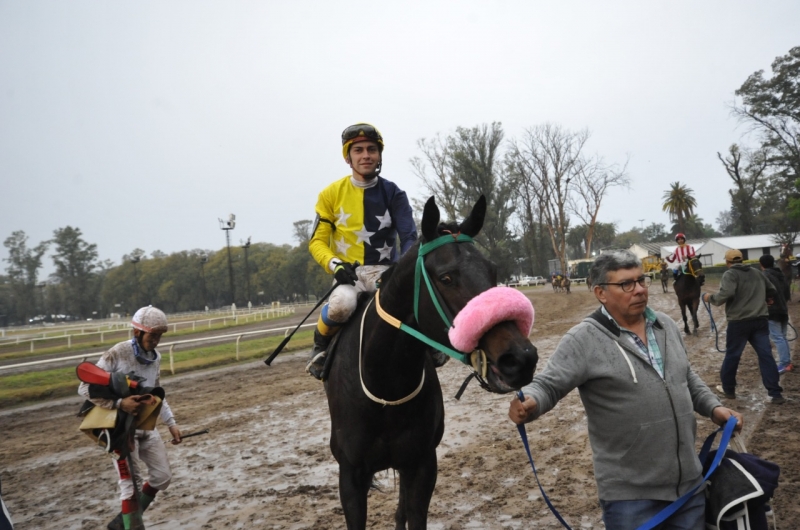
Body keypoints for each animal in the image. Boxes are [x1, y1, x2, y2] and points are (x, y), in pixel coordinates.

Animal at [324, 196, 536, 524]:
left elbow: (411, 513)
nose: (520, 358)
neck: (385, 388)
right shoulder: (351, 474)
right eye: (446, 278)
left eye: (492, 271)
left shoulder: (421, 464)